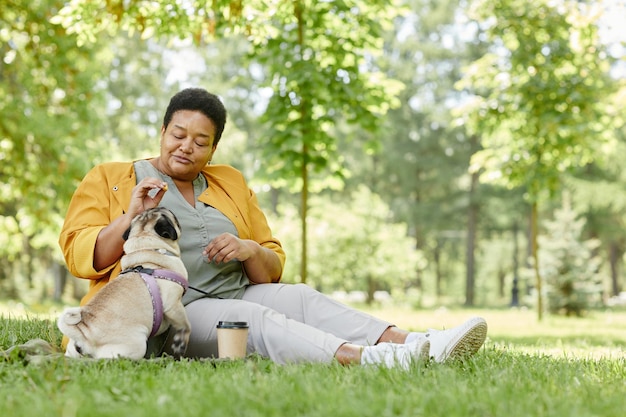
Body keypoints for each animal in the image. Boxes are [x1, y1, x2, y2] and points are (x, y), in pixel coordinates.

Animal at [58, 206, 190, 360]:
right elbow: (185, 324)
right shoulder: (173, 305)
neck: (146, 246)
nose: (160, 205)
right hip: (136, 345)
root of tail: (84, 335)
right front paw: (181, 342)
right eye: (172, 216)